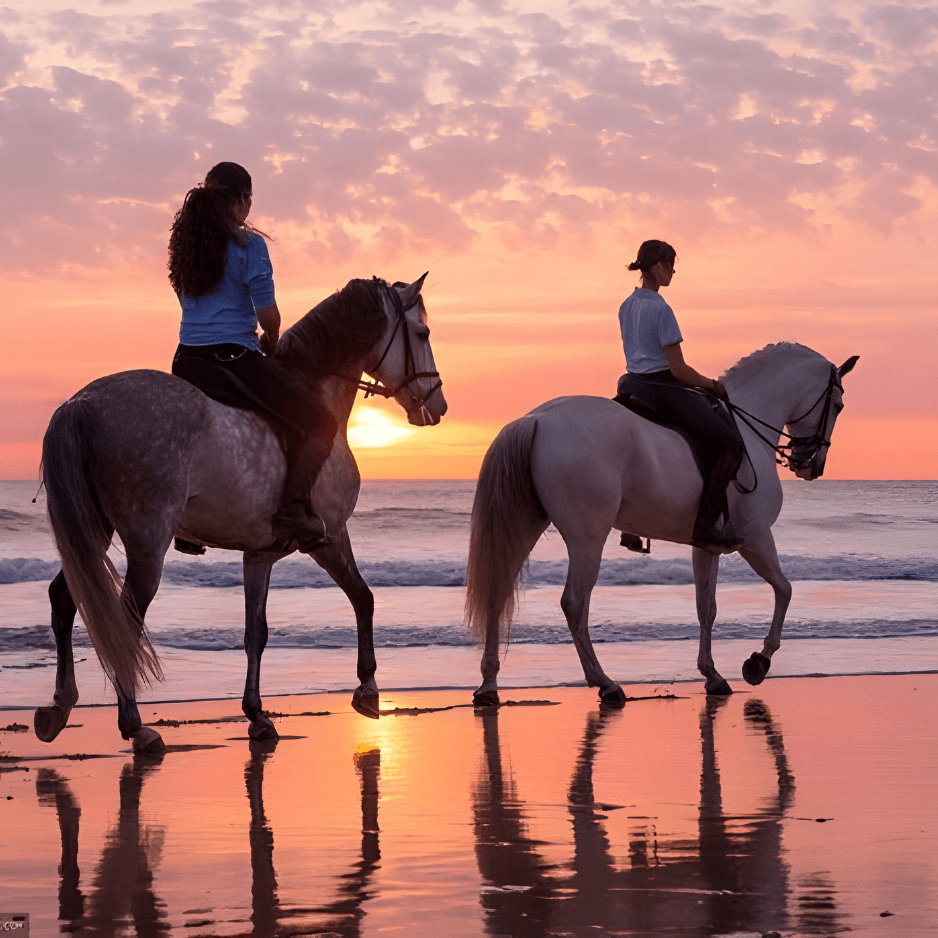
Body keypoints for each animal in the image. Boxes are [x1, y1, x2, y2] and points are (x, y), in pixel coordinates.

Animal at [36, 274, 446, 748]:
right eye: (423, 333)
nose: (438, 405)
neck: (316, 389)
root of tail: (81, 404)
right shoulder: (329, 536)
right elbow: (364, 597)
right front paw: (368, 688)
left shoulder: (260, 554)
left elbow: (256, 632)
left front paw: (257, 714)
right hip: (146, 541)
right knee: (126, 618)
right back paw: (135, 725)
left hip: (90, 530)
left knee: (64, 598)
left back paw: (59, 707)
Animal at [464, 338, 860, 704]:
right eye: (839, 405)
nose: (810, 465)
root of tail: (536, 419)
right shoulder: (756, 536)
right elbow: (785, 590)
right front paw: (758, 663)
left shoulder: (707, 545)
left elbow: (707, 608)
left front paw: (712, 675)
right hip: (587, 537)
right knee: (574, 603)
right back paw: (605, 682)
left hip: (527, 526)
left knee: (498, 590)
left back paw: (488, 685)